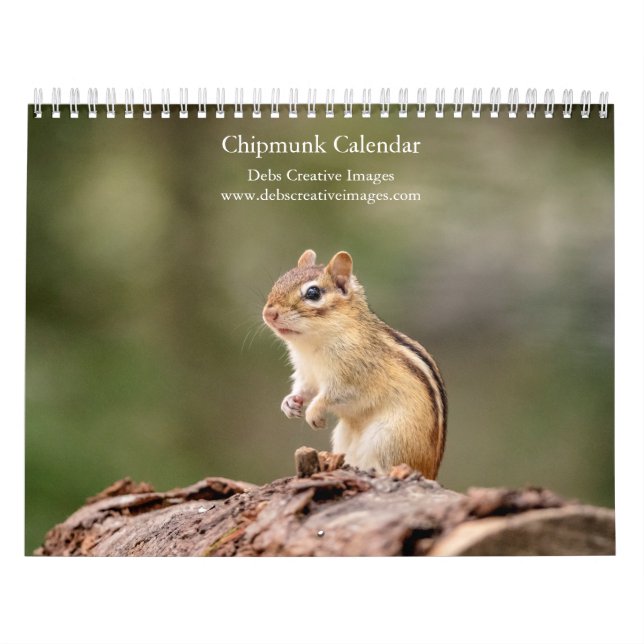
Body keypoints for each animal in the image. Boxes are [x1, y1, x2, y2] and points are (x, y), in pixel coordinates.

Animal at [262, 249, 447, 480]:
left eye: (313, 293)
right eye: (279, 281)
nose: (269, 314)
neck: (311, 345)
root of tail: (431, 472)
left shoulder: (354, 376)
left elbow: (332, 395)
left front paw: (313, 412)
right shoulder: (306, 373)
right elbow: (305, 389)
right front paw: (290, 403)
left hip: (388, 439)